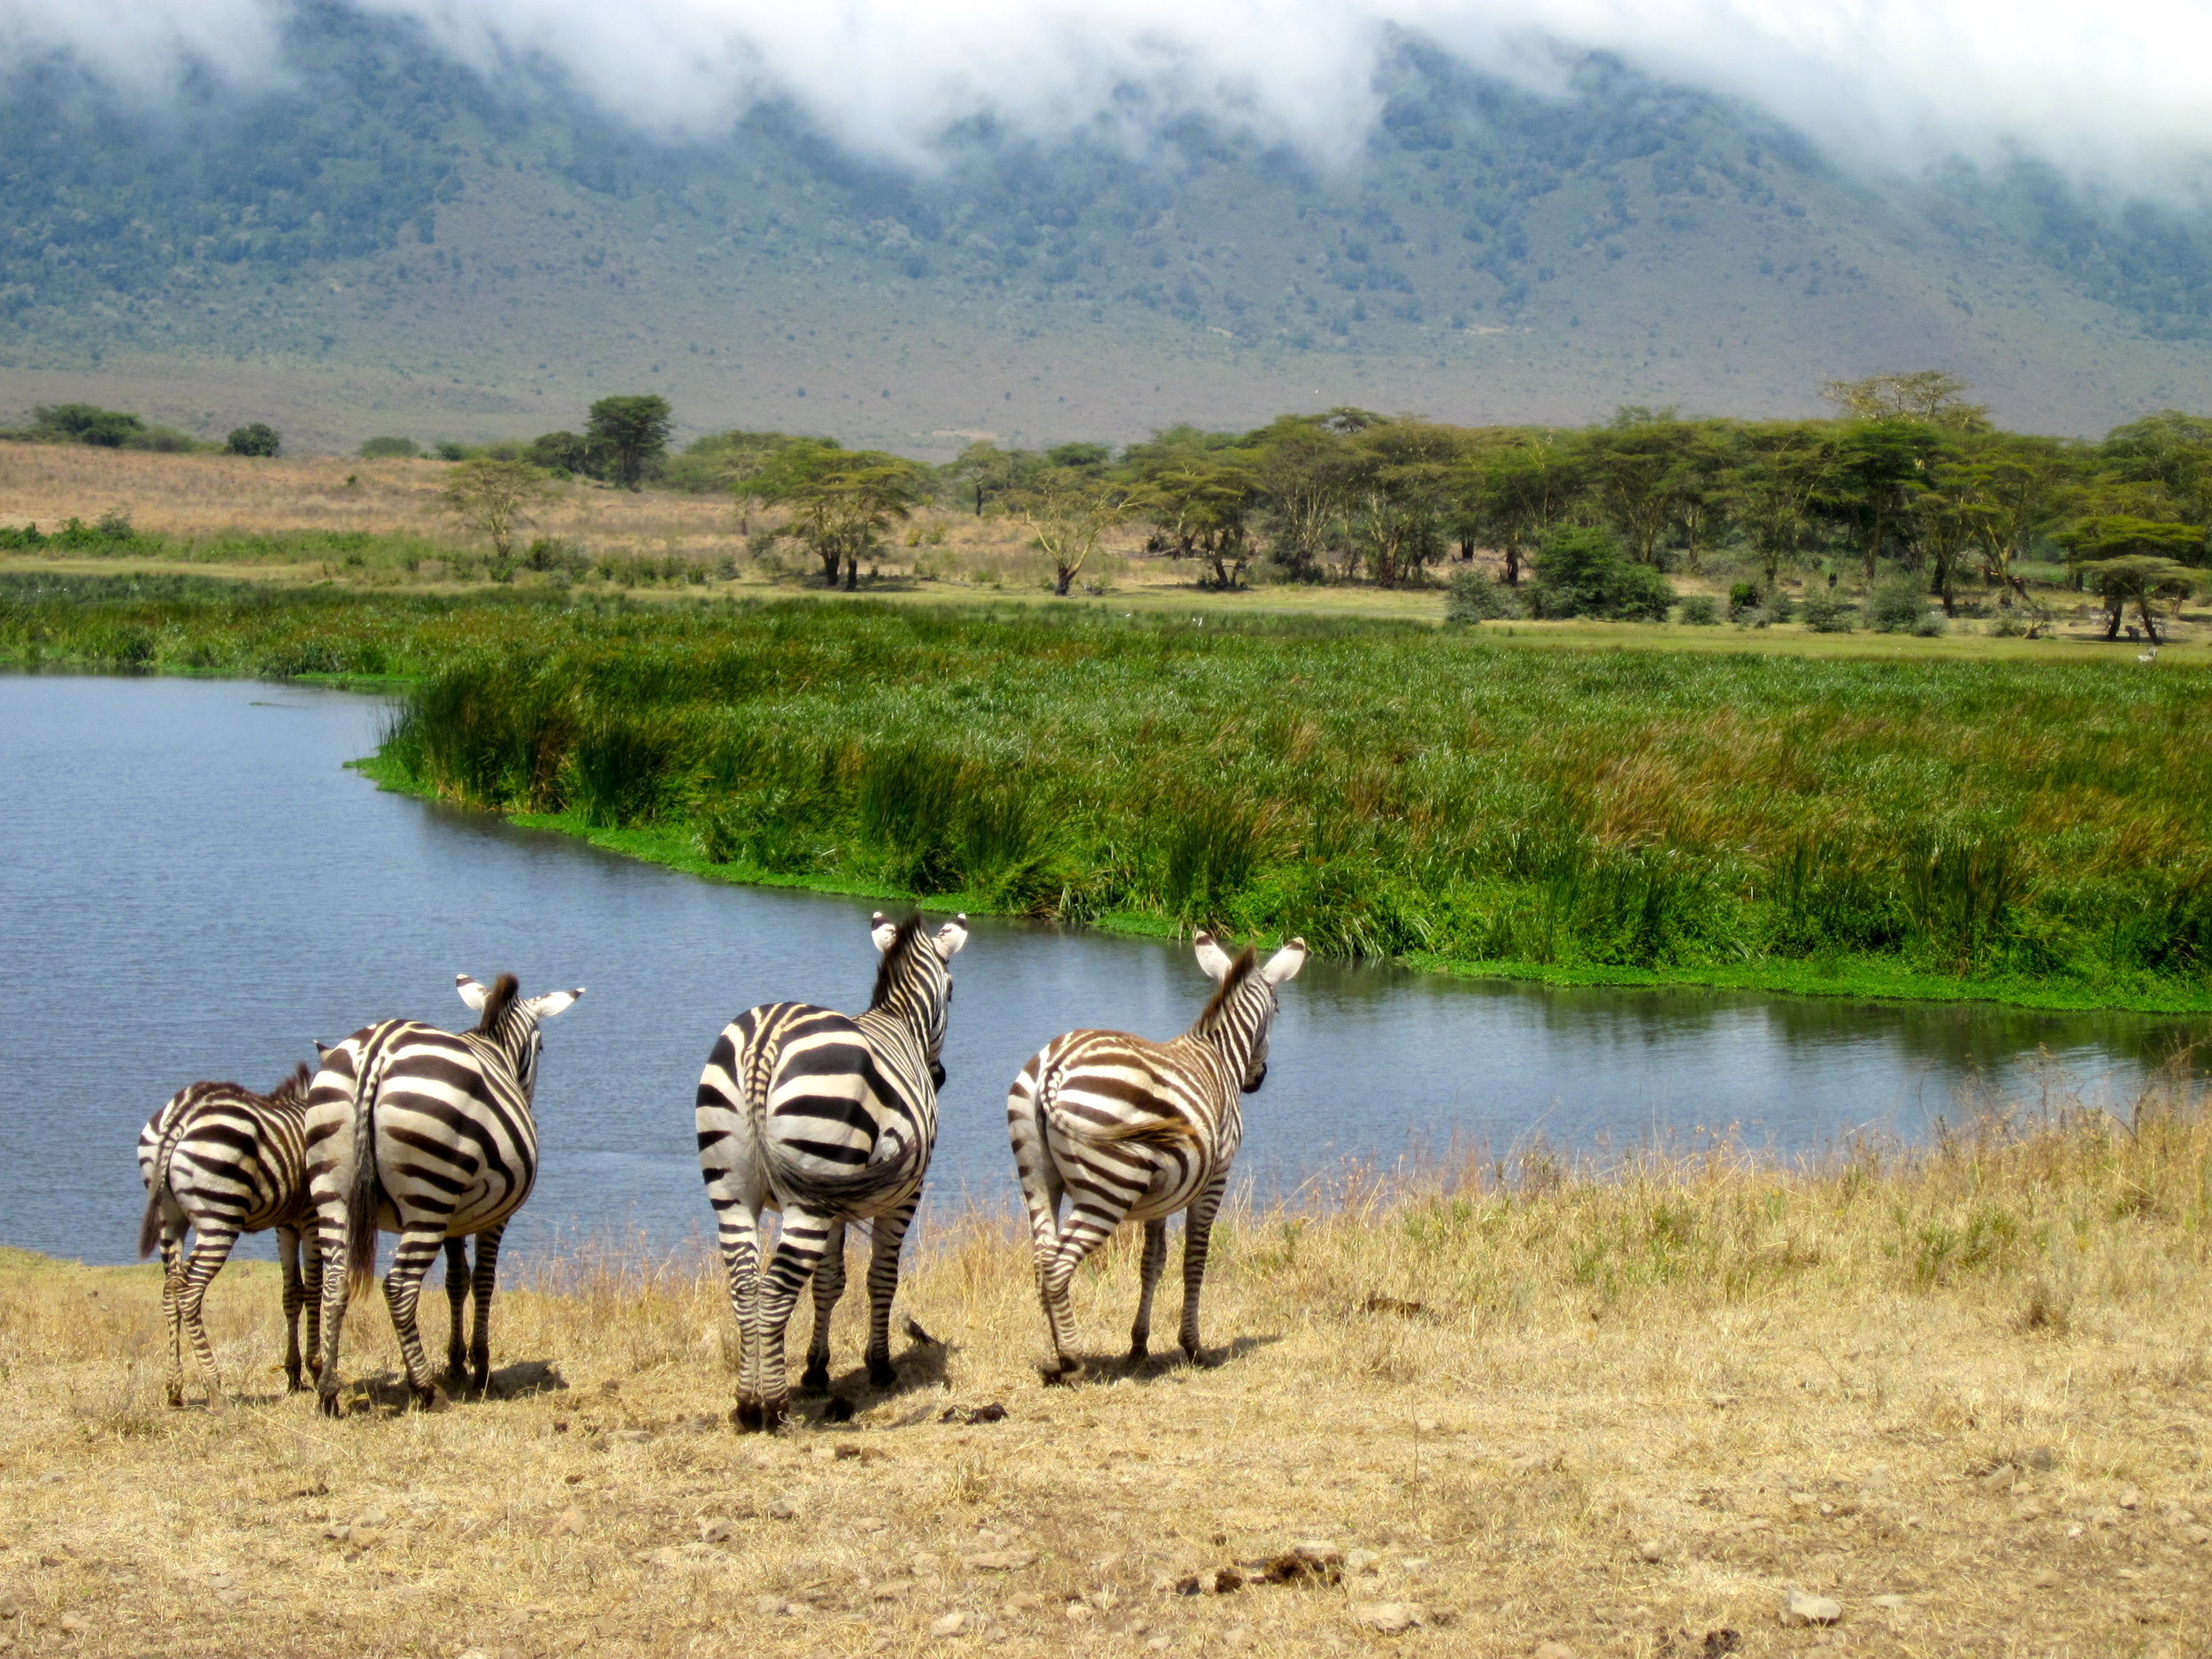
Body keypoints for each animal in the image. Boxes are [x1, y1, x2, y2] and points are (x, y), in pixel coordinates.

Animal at [137, 1071, 320, 1407]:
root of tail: (183, 1113)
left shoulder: (286, 1225)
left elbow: (292, 1294)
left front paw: (293, 1375)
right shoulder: (312, 1216)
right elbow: (315, 1291)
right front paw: (317, 1368)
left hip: (169, 1218)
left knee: (170, 1290)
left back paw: (174, 1387)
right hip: (219, 1217)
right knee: (189, 1292)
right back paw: (214, 1386)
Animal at [303, 973, 584, 1416]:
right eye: (541, 1047)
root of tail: (376, 1050)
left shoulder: (457, 1217)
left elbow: (457, 1280)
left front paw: (455, 1363)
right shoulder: (493, 1216)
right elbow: (483, 1280)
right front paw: (480, 1369)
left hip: (332, 1188)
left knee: (334, 1282)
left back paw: (329, 1390)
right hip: (429, 1197)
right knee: (399, 1287)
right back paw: (425, 1389)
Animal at [690, 911, 969, 1433]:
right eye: (952, 991)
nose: (940, 1077)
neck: (899, 1022)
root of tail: (765, 1040)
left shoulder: (838, 1200)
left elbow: (829, 1282)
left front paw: (817, 1370)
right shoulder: (904, 1195)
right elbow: (881, 1277)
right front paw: (880, 1366)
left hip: (734, 1190)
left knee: (745, 1285)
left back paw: (745, 1401)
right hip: (808, 1197)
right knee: (776, 1290)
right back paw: (771, 1406)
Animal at [1013, 929, 1301, 1380]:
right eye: (1278, 1009)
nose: (1258, 1080)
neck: (1219, 1056)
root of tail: (1054, 1070)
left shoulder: (1160, 1196)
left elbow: (1152, 1262)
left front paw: (1139, 1345)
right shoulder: (1215, 1178)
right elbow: (1194, 1258)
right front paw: (1193, 1346)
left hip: (1037, 1178)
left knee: (1042, 1259)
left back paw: (1059, 1354)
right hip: (1108, 1188)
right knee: (1059, 1264)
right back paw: (1073, 1361)